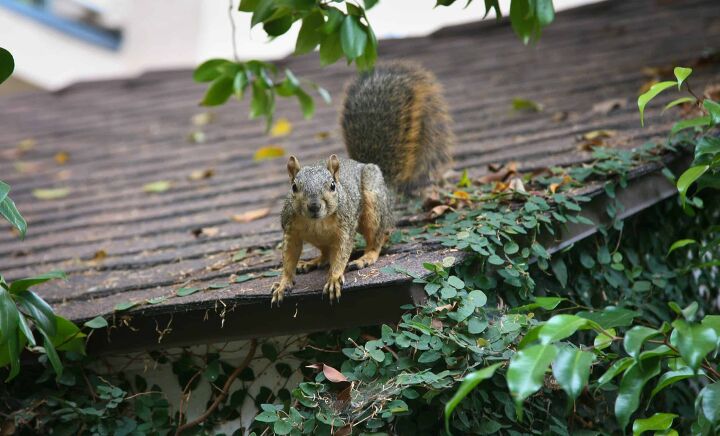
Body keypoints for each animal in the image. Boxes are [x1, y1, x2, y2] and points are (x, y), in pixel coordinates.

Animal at [272, 61, 452, 304]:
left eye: (332, 186)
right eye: (294, 188)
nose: (314, 206)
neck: (317, 222)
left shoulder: (345, 228)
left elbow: (341, 254)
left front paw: (334, 278)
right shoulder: (291, 229)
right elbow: (289, 257)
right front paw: (283, 283)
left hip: (373, 206)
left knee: (376, 239)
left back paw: (366, 257)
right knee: (325, 253)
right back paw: (313, 262)